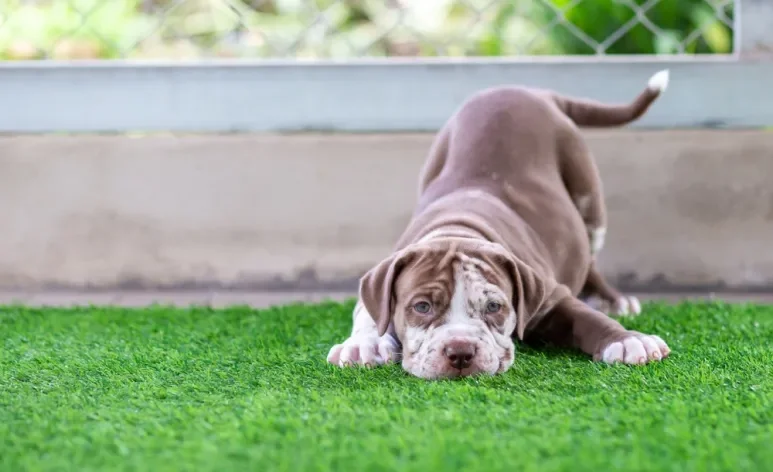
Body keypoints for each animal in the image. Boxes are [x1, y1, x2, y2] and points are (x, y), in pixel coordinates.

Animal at [326, 69, 668, 380]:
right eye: (421, 307)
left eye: (493, 307)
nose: (460, 351)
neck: (457, 229)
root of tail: (529, 91)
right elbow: (370, 316)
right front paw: (363, 344)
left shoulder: (551, 297)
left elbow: (586, 318)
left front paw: (628, 340)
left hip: (588, 197)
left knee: (590, 255)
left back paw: (615, 301)